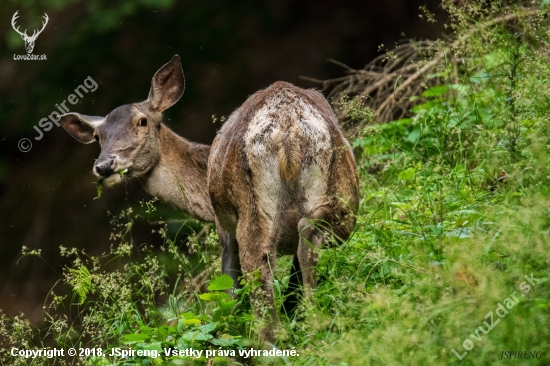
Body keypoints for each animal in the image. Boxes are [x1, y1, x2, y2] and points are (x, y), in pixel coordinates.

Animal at [60, 55, 360, 340]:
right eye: (97, 136)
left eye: (142, 121)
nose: (104, 166)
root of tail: (288, 124)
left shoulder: (223, 227)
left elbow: (229, 292)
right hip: (344, 196)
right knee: (307, 235)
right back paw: (316, 319)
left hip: (252, 208)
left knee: (260, 269)